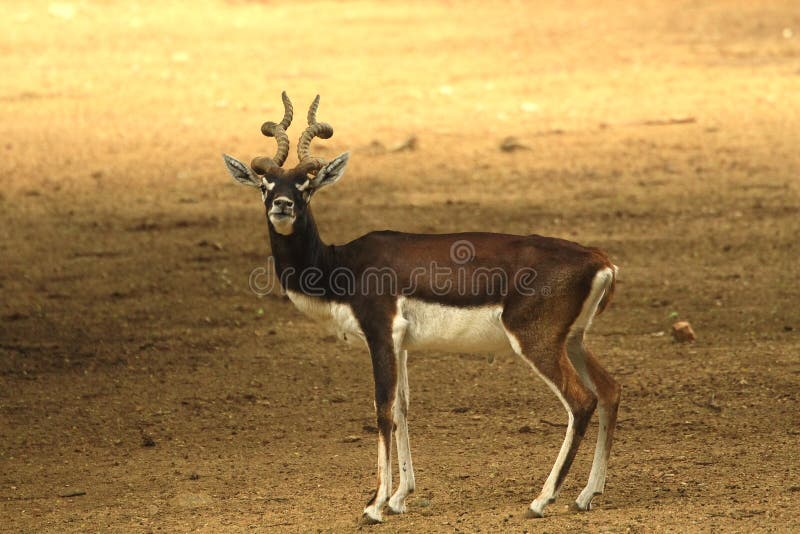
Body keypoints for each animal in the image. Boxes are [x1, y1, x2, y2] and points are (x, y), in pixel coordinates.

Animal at [222, 94, 620, 524]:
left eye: (306, 185)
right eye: (265, 184)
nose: (281, 206)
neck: (341, 266)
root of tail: (599, 259)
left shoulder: (380, 334)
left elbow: (381, 409)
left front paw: (375, 505)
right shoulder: (402, 344)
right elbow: (402, 408)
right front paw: (399, 497)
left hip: (537, 341)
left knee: (581, 401)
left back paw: (541, 500)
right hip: (574, 340)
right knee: (610, 390)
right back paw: (586, 495)